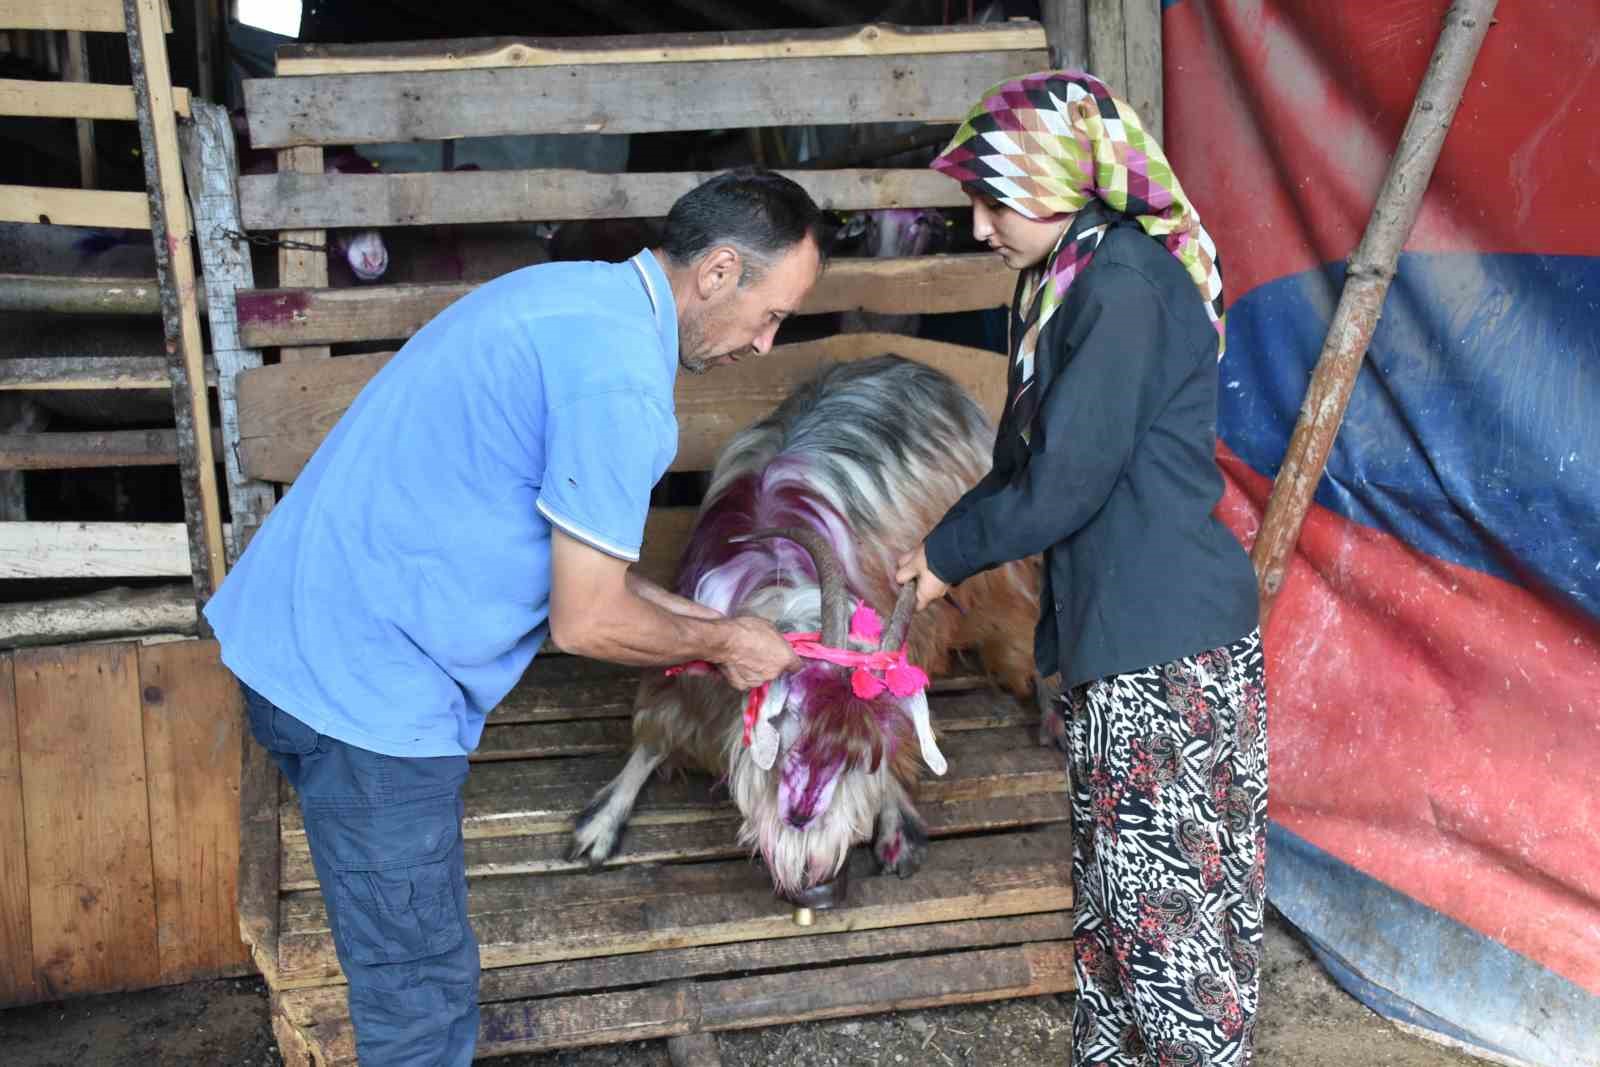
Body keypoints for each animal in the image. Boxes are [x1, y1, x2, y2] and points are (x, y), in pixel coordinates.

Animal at [569, 355, 1043, 915]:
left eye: (860, 760)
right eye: (789, 733)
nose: (817, 888)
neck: (781, 587)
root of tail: (911, 362)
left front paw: (894, 823)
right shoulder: (687, 659)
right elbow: (651, 739)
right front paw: (600, 823)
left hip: (989, 567)